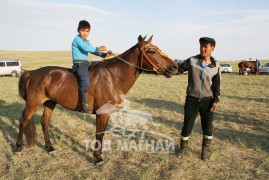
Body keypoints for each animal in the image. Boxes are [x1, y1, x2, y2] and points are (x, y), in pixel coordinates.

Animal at [14, 35, 178, 165]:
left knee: (44, 122)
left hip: (50, 102)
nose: (175, 67)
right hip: (33, 104)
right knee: (23, 121)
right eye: (152, 51)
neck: (113, 77)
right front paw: (98, 158)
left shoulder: (107, 114)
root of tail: (32, 73)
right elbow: (100, 134)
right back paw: (18, 148)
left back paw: (50, 148)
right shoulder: (102, 113)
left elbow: (102, 133)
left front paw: (98, 155)